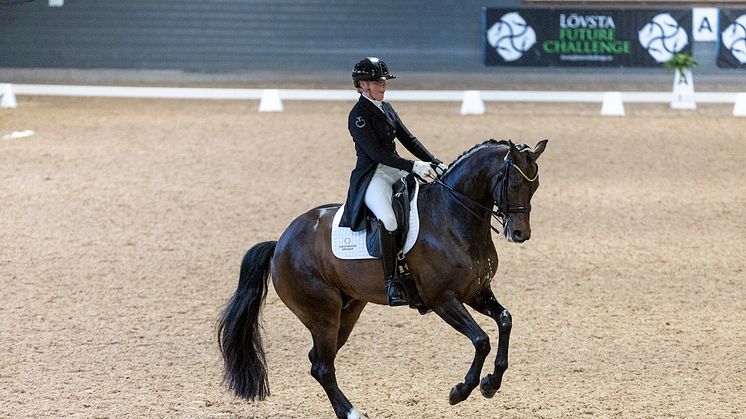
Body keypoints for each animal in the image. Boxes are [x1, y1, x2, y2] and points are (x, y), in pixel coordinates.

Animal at [215, 139, 548, 418]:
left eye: (535, 186)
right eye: (514, 183)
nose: (520, 234)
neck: (453, 216)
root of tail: (280, 244)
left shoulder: (477, 292)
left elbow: (505, 320)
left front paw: (491, 383)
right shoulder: (443, 300)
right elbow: (481, 340)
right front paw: (461, 391)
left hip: (347, 310)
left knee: (318, 362)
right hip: (323, 314)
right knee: (322, 367)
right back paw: (352, 414)